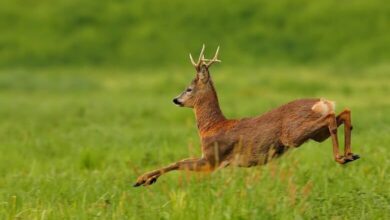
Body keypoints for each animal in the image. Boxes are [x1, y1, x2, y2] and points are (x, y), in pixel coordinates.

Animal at [134, 45, 360, 186]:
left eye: (189, 89)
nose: (175, 99)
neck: (212, 127)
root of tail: (322, 102)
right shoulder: (209, 158)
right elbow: (180, 160)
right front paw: (144, 179)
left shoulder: (213, 159)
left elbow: (179, 162)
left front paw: (142, 180)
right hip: (316, 134)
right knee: (344, 113)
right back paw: (350, 154)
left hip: (294, 134)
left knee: (333, 117)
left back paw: (341, 157)